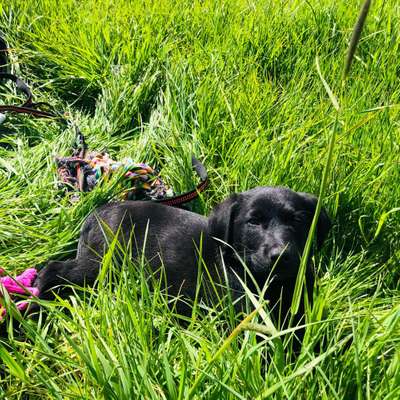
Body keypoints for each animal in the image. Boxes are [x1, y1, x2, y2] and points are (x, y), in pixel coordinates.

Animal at [34, 188, 330, 324]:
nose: (281, 255)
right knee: (52, 270)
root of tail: (96, 213)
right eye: (253, 222)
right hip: (100, 264)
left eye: (298, 220)